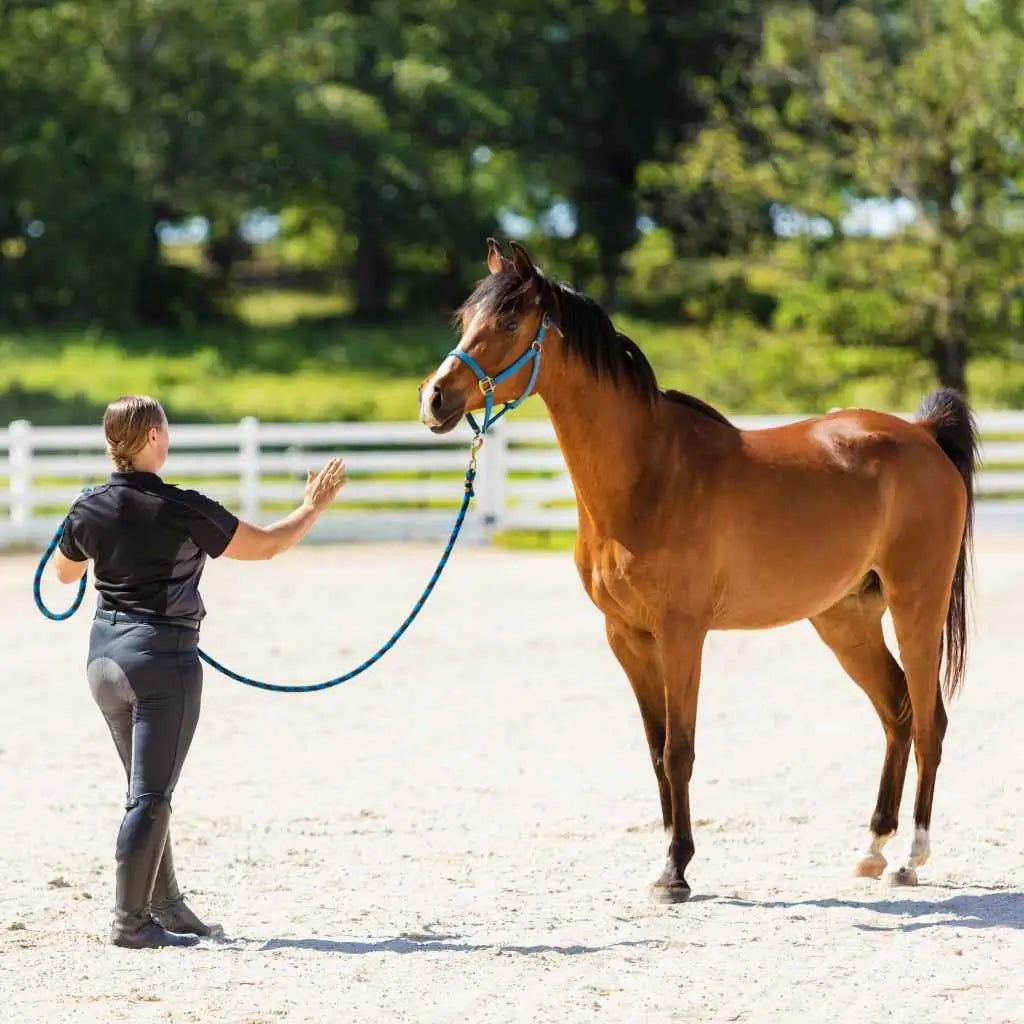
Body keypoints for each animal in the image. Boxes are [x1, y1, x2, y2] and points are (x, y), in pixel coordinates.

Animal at [419, 238, 977, 902]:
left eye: (507, 322)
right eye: (464, 319)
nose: (434, 398)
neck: (647, 476)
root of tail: (921, 435)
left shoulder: (682, 634)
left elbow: (680, 750)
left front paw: (675, 872)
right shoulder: (626, 637)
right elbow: (656, 750)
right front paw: (668, 859)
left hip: (916, 606)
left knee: (931, 720)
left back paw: (910, 859)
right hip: (846, 620)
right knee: (897, 712)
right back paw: (871, 849)